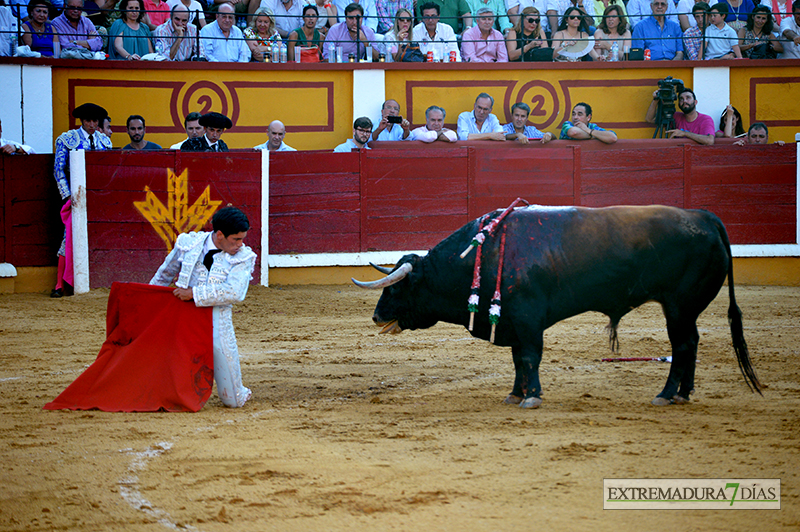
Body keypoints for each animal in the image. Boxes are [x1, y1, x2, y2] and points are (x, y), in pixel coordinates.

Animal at [354, 204, 764, 408]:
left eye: (397, 289)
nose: (375, 315)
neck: (481, 256)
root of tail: (706, 218)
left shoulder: (528, 319)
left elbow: (530, 357)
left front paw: (531, 397)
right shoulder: (513, 322)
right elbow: (518, 359)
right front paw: (515, 394)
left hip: (678, 305)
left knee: (681, 345)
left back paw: (665, 395)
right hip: (684, 309)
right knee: (690, 344)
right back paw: (682, 394)